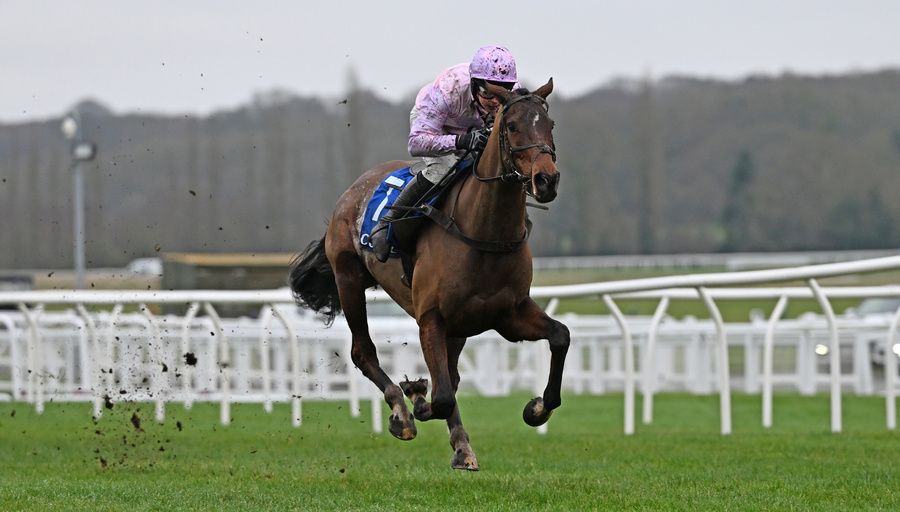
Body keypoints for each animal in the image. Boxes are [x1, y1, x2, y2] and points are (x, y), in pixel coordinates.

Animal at [288, 78, 568, 470]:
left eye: (550, 124)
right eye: (512, 125)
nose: (546, 180)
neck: (484, 233)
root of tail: (352, 191)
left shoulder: (509, 314)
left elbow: (560, 336)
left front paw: (538, 408)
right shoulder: (430, 318)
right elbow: (442, 396)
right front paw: (415, 399)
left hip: (460, 326)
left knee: (451, 375)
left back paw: (462, 447)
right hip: (349, 280)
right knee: (364, 352)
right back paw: (401, 411)